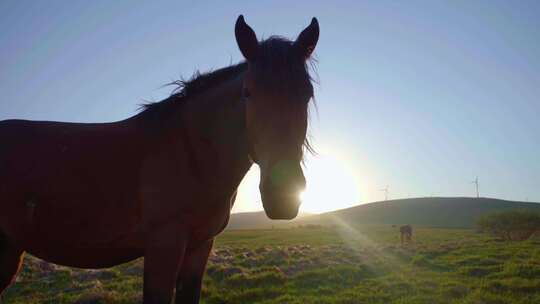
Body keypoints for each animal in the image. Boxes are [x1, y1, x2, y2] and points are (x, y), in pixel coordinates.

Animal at [0, 15, 318, 302]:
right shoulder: (163, 247)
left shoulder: (199, 247)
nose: (283, 196)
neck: (192, 153)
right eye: (247, 92)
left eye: (307, 94)